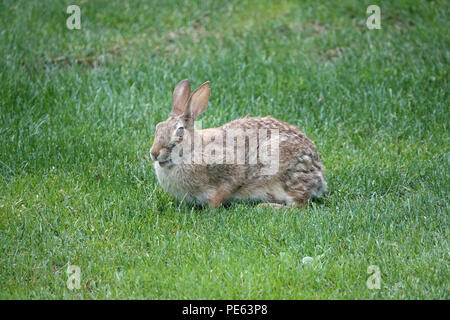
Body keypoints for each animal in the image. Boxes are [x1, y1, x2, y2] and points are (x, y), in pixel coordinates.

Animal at [151, 79, 326, 209]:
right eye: (158, 127)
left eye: (180, 131)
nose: (154, 153)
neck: (193, 150)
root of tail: (319, 172)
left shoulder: (231, 173)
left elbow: (222, 192)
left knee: (299, 204)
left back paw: (265, 207)